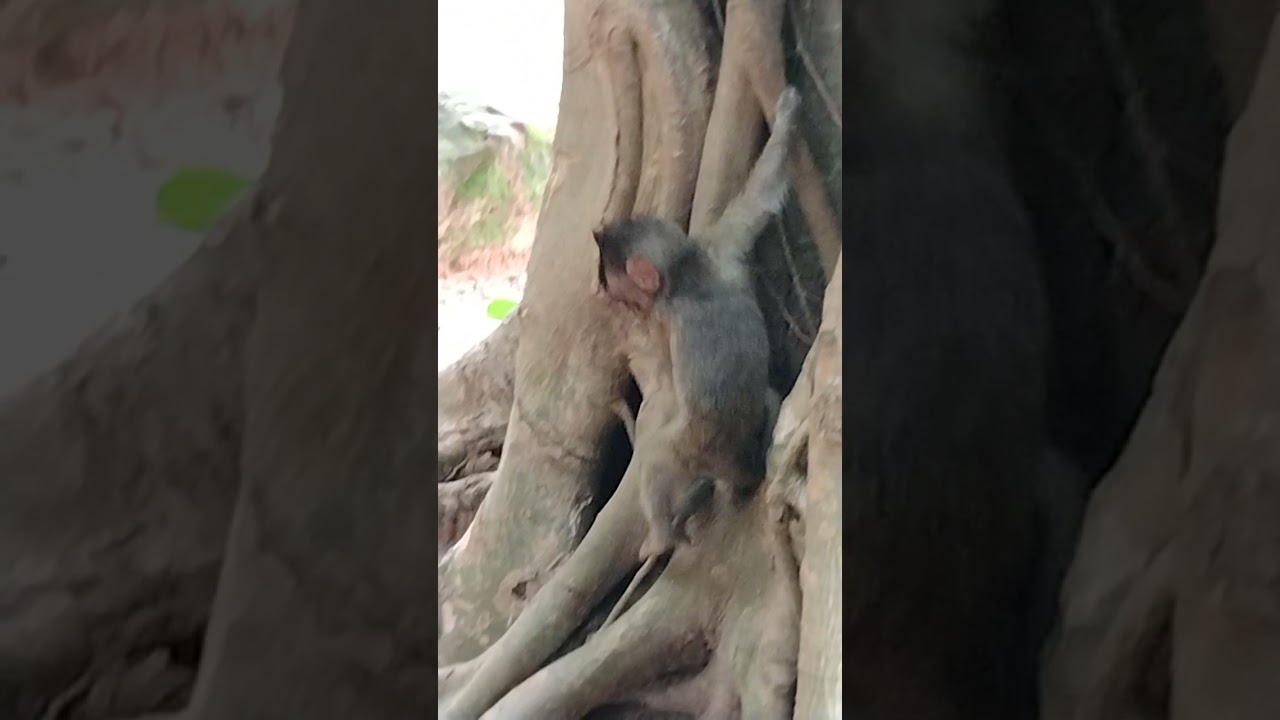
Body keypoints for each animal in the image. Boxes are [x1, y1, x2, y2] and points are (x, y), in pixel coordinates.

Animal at [594, 87, 801, 566]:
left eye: (622, 292)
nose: (627, 309)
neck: (690, 274)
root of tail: (744, 465)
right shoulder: (721, 245)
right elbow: (759, 197)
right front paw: (786, 116)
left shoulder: (670, 318)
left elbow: (678, 394)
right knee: (767, 398)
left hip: (703, 454)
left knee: (660, 459)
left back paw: (662, 537)